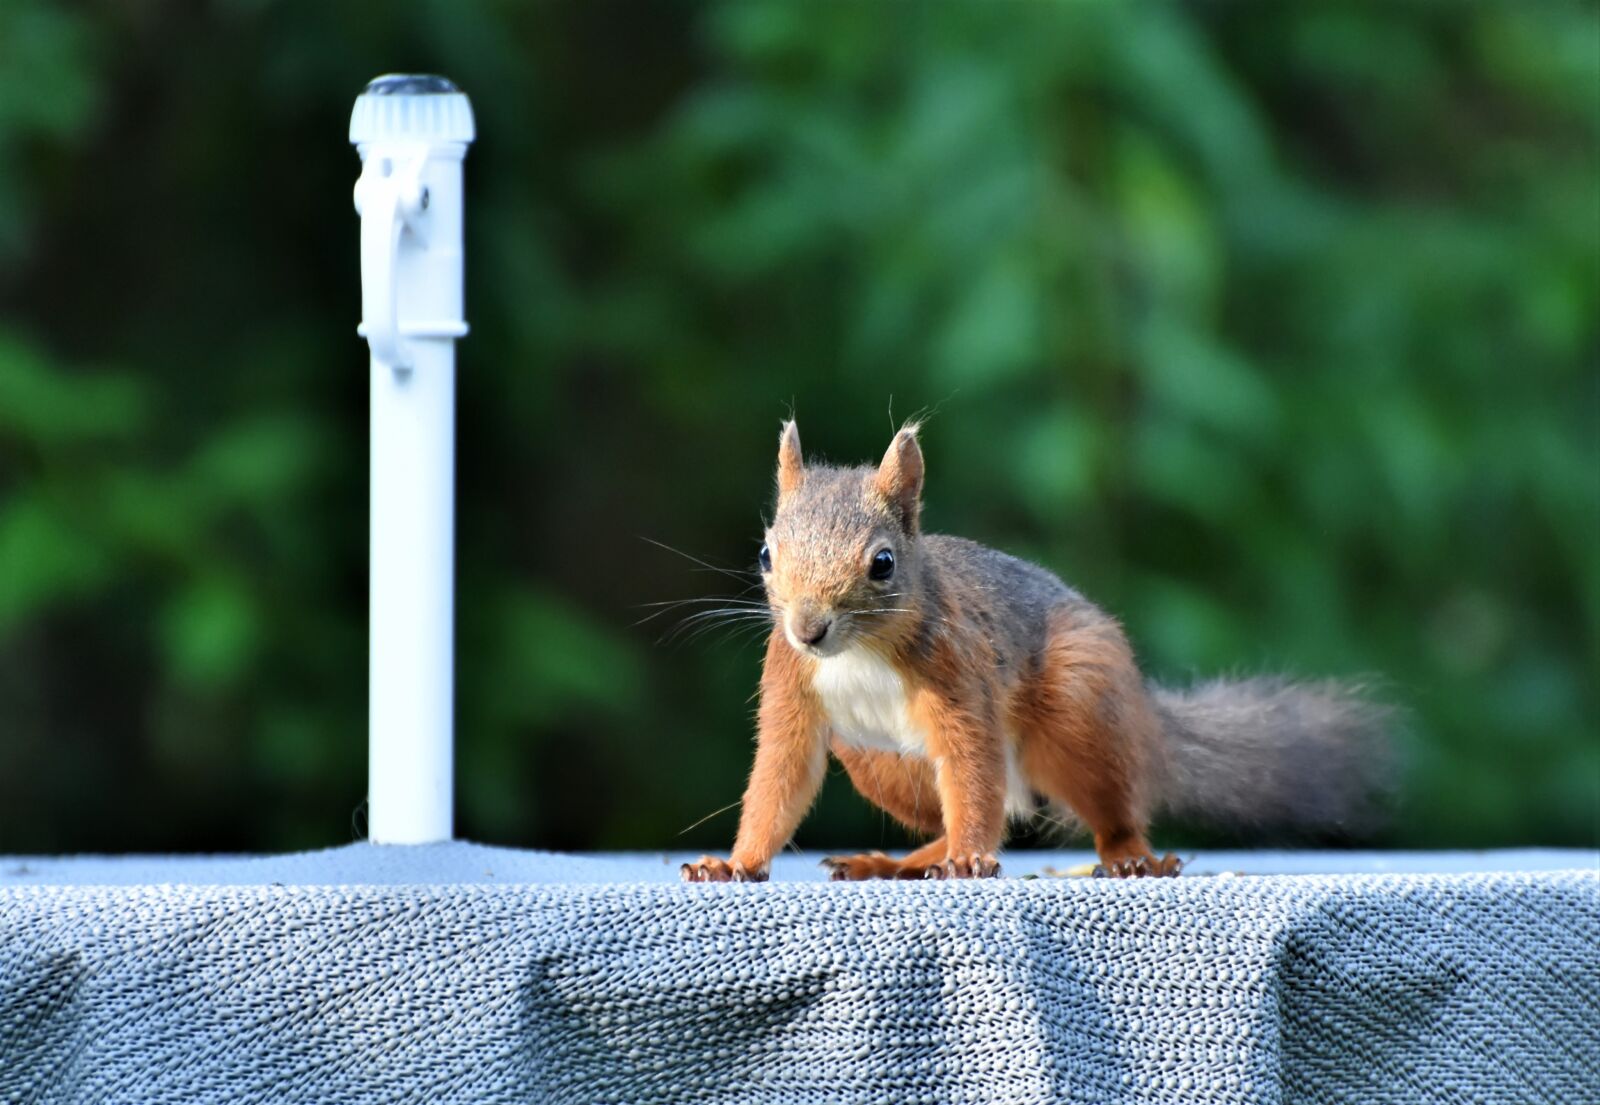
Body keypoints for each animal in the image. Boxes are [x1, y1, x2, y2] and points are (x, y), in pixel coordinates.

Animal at [682, 421, 1390, 882]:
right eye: (766, 554)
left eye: (882, 563)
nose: (808, 630)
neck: (859, 654)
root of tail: (1144, 718)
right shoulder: (791, 689)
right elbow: (778, 782)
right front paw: (735, 864)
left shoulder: (960, 681)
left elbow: (971, 767)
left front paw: (972, 861)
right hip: (878, 762)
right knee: (971, 814)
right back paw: (896, 862)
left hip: (1080, 709)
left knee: (1096, 807)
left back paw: (1129, 857)